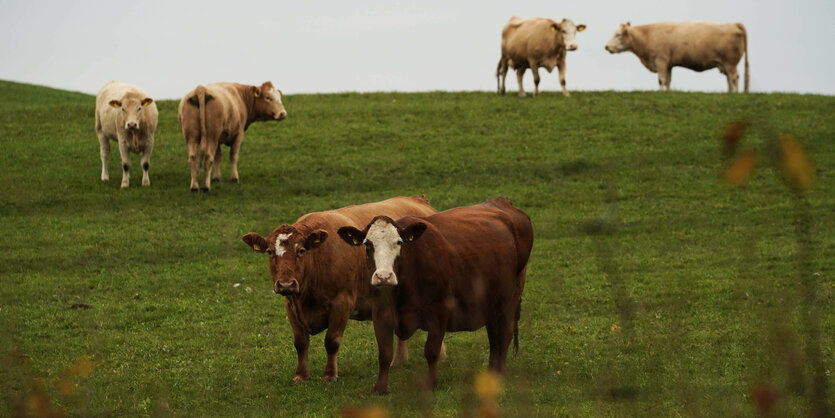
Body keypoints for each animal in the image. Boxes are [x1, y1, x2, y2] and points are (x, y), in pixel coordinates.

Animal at [242, 196, 444, 382]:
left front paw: (330, 374)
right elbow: (300, 343)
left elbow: (331, 341)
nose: (285, 284)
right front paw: (301, 375)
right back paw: (399, 361)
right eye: (270, 252)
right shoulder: (291, 305)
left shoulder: (342, 303)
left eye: (301, 251)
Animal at [340, 198, 536, 394]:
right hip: (493, 300)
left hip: (513, 295)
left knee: (504, 333)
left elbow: (431, 350)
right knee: (494, 335)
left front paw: (432, 383)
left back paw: (500, 372)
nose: (383, 276)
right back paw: (492, 372)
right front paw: (380, 388)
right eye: (368, 244)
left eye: (399, 242)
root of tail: (502, 202)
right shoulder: (380, 313)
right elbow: (384, 353)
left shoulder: (440, 310)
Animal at [604, 21, 748, 92]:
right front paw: (667, 93)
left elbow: (661, 80)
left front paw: (660, 92)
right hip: (726, 64)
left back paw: (735, 93)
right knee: (729, 79)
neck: (649, 35)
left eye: (618, 34)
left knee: (734, 78)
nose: (606, 46)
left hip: (730, 63)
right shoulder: (668, 64)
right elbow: (668, 80)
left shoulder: (660, 60)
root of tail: (734, 24)